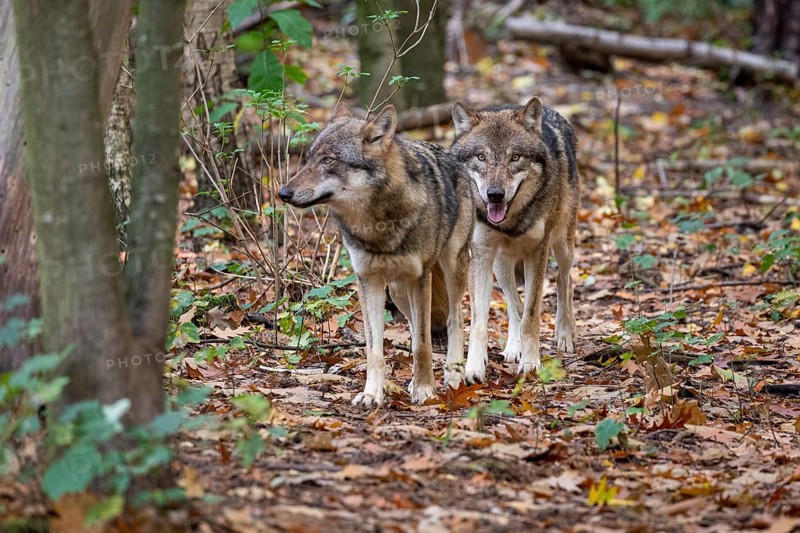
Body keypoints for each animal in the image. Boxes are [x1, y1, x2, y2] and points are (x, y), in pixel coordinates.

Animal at [278, 103, 475, 407]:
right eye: (309, 159)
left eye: (328, 160)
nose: (283, 193)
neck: (377, 224)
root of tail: (449, 153)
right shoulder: (368, 280)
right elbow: (375, 350)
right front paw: (372, 394)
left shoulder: (421, 278)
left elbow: (423, 345)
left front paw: (425, 390)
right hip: (398, 290)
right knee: (415, 326)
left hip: (451, 267)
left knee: (455, 320)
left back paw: (453, 378)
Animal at [450, 97, 580, 382]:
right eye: (481, 156)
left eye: (515, 157)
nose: (495, 195)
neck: (510, 222)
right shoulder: (481, 254)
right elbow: (480, 320)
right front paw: (474, 367)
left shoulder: (538, 252)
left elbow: (531, 315)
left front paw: (531, 363)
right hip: (501, 264)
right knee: (513, 304)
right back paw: (512, 348)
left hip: (563, 245)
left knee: (565, 280)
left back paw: (565, 334)